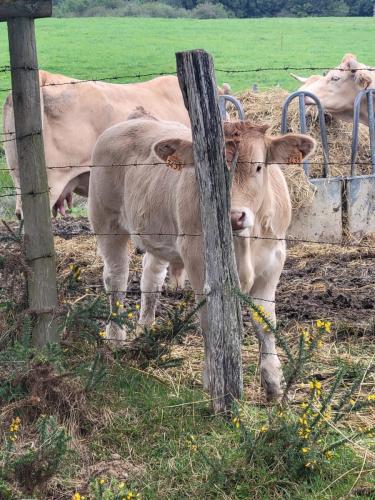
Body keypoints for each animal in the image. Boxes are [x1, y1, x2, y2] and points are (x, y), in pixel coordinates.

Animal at [89, 111, 318, 400]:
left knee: (151, 278)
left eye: (258, 167)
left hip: (157, 231)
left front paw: (274, 385)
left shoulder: (273, 260)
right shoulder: (198, 261)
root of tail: (132, 121)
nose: (235, 215)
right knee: (116, 278)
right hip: (106, 221)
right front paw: (214, 380)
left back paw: (146, 330)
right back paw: (115, 337)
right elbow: (210, 320)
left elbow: (265, 322)